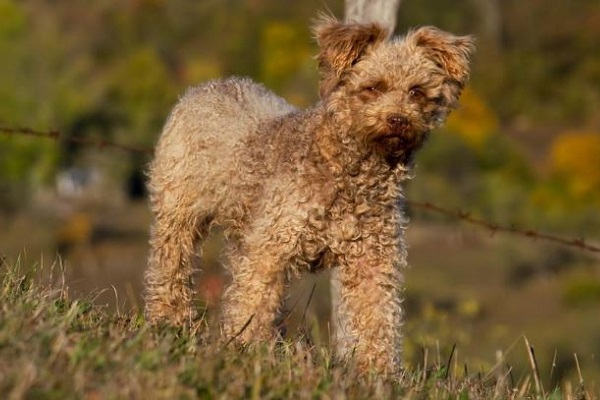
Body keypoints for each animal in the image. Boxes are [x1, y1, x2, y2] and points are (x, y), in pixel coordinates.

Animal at [145, 15, 474, 376]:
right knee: (171, 269)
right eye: (372, 87)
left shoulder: (374, 260)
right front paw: (245, 354)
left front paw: (377, 374)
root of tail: (207, 86)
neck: (349, 172)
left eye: (416, 92)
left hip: (243, 233)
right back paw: (169, 323)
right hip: (179, 214)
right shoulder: (271, 249)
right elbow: (253, 302)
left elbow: (378, 319)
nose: (398, 120)